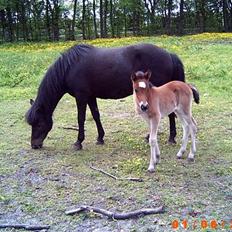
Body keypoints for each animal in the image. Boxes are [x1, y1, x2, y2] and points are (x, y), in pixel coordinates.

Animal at [25, 43, 185, 150]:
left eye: (39, 123)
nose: (34, 145)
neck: (69, 67)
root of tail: (169, 55)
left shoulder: (81, 97)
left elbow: (80, 118)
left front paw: (78, 142)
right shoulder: (90, 96)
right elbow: (96, 115)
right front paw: (100, 138)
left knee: (170, 114)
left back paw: (171, 138)